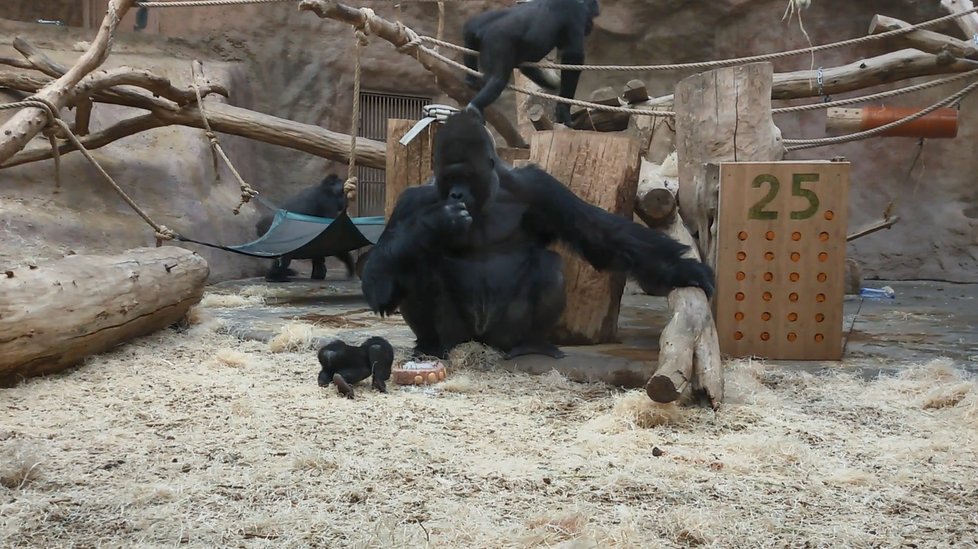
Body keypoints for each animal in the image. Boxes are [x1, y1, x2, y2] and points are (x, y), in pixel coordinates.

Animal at [362, 111, 712, 360]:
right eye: (449, 177)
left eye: (466, 176)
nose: (456, 194)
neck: (489, 194)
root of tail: (481, 341)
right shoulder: (412, 200)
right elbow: (378, 278)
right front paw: (435, 223)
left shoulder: (539, 187)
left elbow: (598, 234)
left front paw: (683, 270)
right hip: (459, 335)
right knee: (416, 264)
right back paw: (432, 345)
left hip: (503, 334)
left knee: (548, 265)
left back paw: (530, 344)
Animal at [462, 0, 600, 124]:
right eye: (592, 16)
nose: (591, 25)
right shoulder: (576, 15)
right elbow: (573, 57)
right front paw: (563, 109)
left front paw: (554, 85)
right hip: (498, 43)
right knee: (497, 79)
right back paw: (475, 107)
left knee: (472, 26)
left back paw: (470, 78)